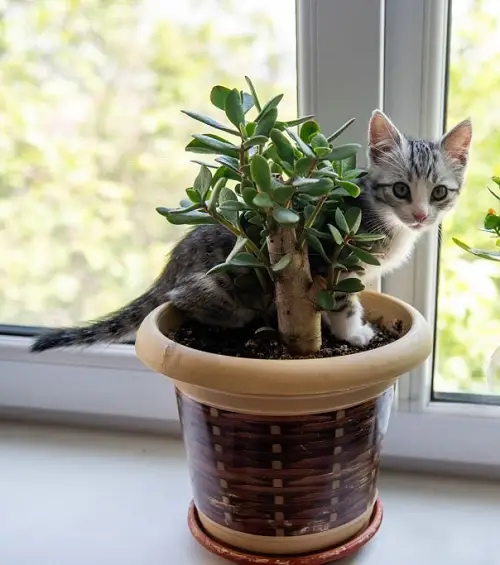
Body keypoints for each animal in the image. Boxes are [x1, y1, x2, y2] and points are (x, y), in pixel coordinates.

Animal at [32, 109, 472, 352]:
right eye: (400, 189)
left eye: (438, 192)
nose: (420, 215)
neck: (381, 218)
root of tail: (170, 270)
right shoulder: (333, 261)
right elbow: (342, 302)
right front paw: (355, 334)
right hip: (221, 286)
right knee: (191, 302)